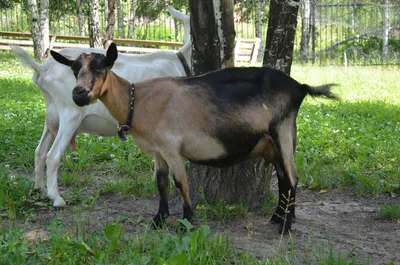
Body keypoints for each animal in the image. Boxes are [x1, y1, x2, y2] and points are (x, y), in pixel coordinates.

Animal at [12, 5, 191, 206]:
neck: (180, 61)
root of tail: (43, 70)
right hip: (70, 114)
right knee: (52, 156)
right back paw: (56, 198)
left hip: (52, 115)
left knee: (39, 151)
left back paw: (41, 190)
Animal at [50, 42, 338, 231]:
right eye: (75, 69)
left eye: (102, 68)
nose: (78, 94)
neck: (138, 101)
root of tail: (299, 87)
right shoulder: (158, 152)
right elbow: (161, 184)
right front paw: (158, 220)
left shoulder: (171, 147)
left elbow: (180, 183)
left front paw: (186, 221)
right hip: (273, 141)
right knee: (283, 178)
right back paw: (279, 217)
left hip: (282, 130)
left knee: (292, 176)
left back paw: (286, 226)